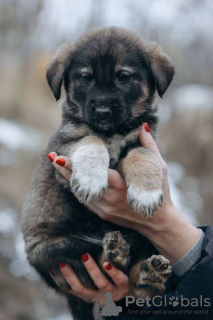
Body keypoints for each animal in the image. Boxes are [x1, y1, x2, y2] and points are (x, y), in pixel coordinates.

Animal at [22, 27, 175, 320]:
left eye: (124, 77)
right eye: (86, 78)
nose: (103, 111)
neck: (112, 131)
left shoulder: (143, 137)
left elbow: (142, 155)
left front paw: (146, 193)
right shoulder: (64, 148)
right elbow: (91, 142)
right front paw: (91, 180)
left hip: (146, 238)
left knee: (133, 284)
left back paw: (149, 273)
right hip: (58, 249)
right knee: (93, 261)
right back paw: (116, 252)